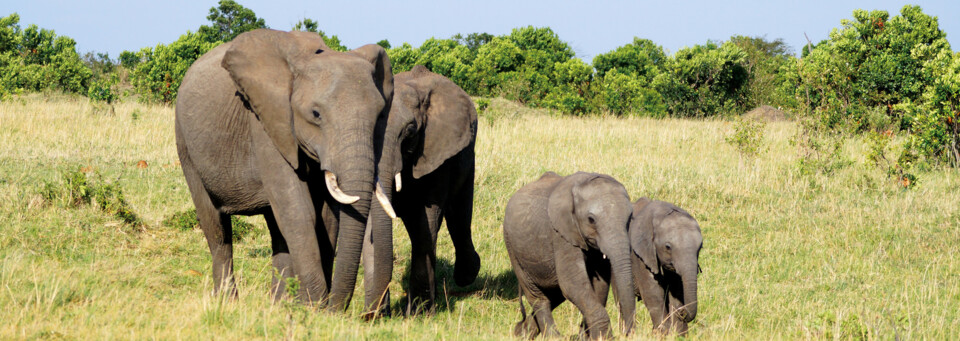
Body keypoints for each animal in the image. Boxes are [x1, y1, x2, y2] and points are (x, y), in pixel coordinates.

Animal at [174, 29, 396, 310]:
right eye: (316, 114)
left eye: (380, 116)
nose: (336, 309)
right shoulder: (266, 121)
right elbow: (299, 211)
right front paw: (314, 307)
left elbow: (326, 216)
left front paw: (308, 308)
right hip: (185, 143)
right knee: (217, 228)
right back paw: (228, 303)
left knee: (276, 228)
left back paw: (277, 305)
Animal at [360, 64, 480, 316]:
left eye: (410, 133)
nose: (367, 316)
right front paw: (374, 314)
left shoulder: (437, 150)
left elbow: (426, 222)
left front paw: (419, 314)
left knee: (459, 214)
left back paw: (466, 275)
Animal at [502, 171, 636, 338]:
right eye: (591, 220)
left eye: (630, 218)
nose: (628, 332)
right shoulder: (561, 234)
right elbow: (572, 283)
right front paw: (603, 337)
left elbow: (599, 285)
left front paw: (586, 338)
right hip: (513, 249)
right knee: (539, 297)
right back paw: (552, 337)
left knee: (554, 294)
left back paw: (522, 333)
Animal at [632, 198, 704, 334]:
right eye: (668, 247)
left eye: (700, 247)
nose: (683, 312)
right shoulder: (640, 256)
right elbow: (653, 294)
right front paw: (663, 334)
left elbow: (676, 293)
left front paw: (679, 334)